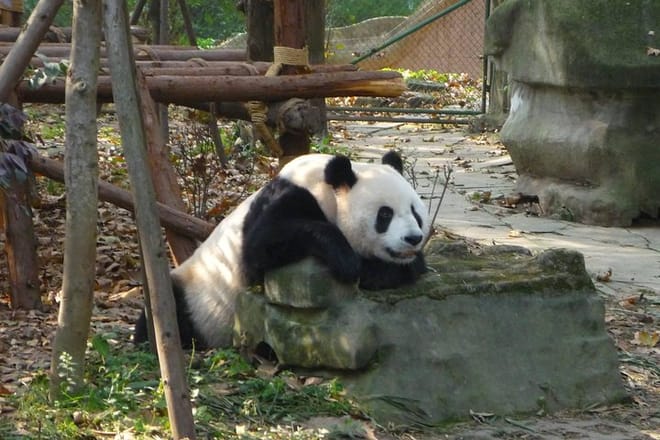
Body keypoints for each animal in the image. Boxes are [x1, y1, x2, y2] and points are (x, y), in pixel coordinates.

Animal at [134, 151, 430, 349]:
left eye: (415, 212)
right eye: (385, 215)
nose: (413, 238)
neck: (324, 187)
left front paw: (386, 269)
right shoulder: (286, 199)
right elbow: (263, 245)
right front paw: (347, 260)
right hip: (194, 294)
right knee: (167, 308)